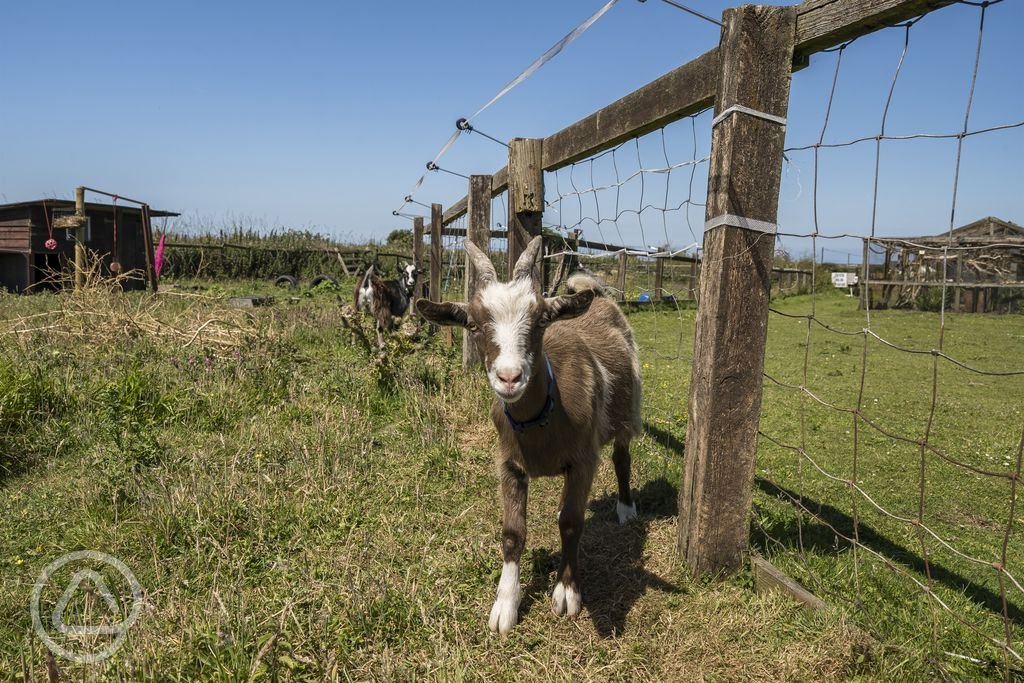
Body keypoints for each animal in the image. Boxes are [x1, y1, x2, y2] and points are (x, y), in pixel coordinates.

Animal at [416, 236, 641, 634]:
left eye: (539, 322)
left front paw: (567, 593)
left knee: (621, 456)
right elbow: (512, 532)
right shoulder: (509, 464)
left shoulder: (584, 460)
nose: (509, 377)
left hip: (628, 411)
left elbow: (571, 522)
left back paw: (626, 508)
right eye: (473, 325)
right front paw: (505, 604)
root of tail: (598, 296)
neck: (543, 418)